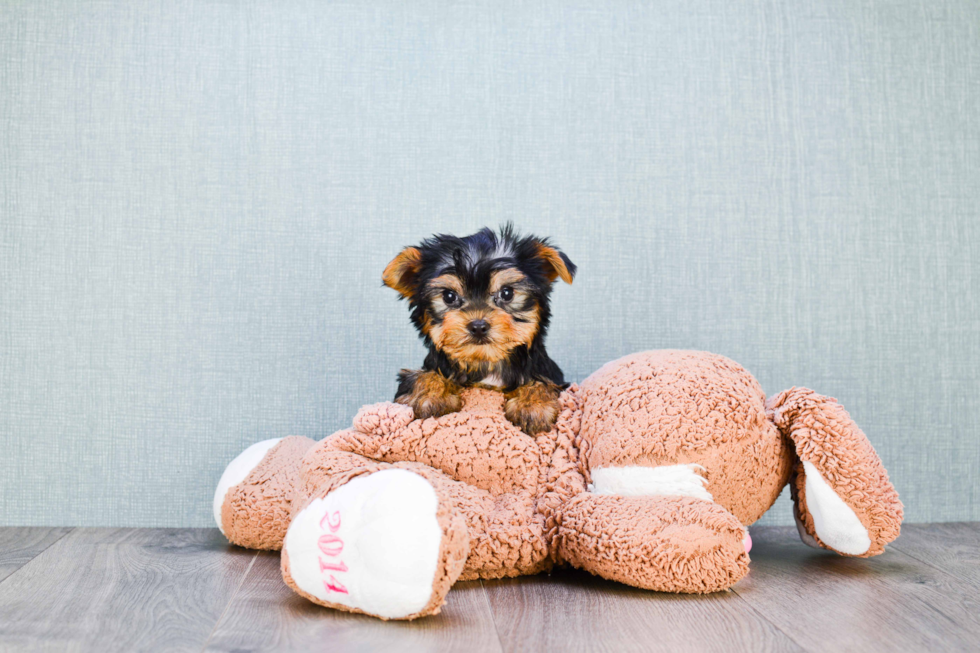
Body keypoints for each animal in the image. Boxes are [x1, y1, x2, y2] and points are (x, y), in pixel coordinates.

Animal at [382, 224, 580, 432]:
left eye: (507, 293)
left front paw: (533, 405)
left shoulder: (550, 373)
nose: (478, 326)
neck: (485, 362)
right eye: (449, 296)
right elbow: (421, 375)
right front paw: (428, 394)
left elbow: (543, 381)